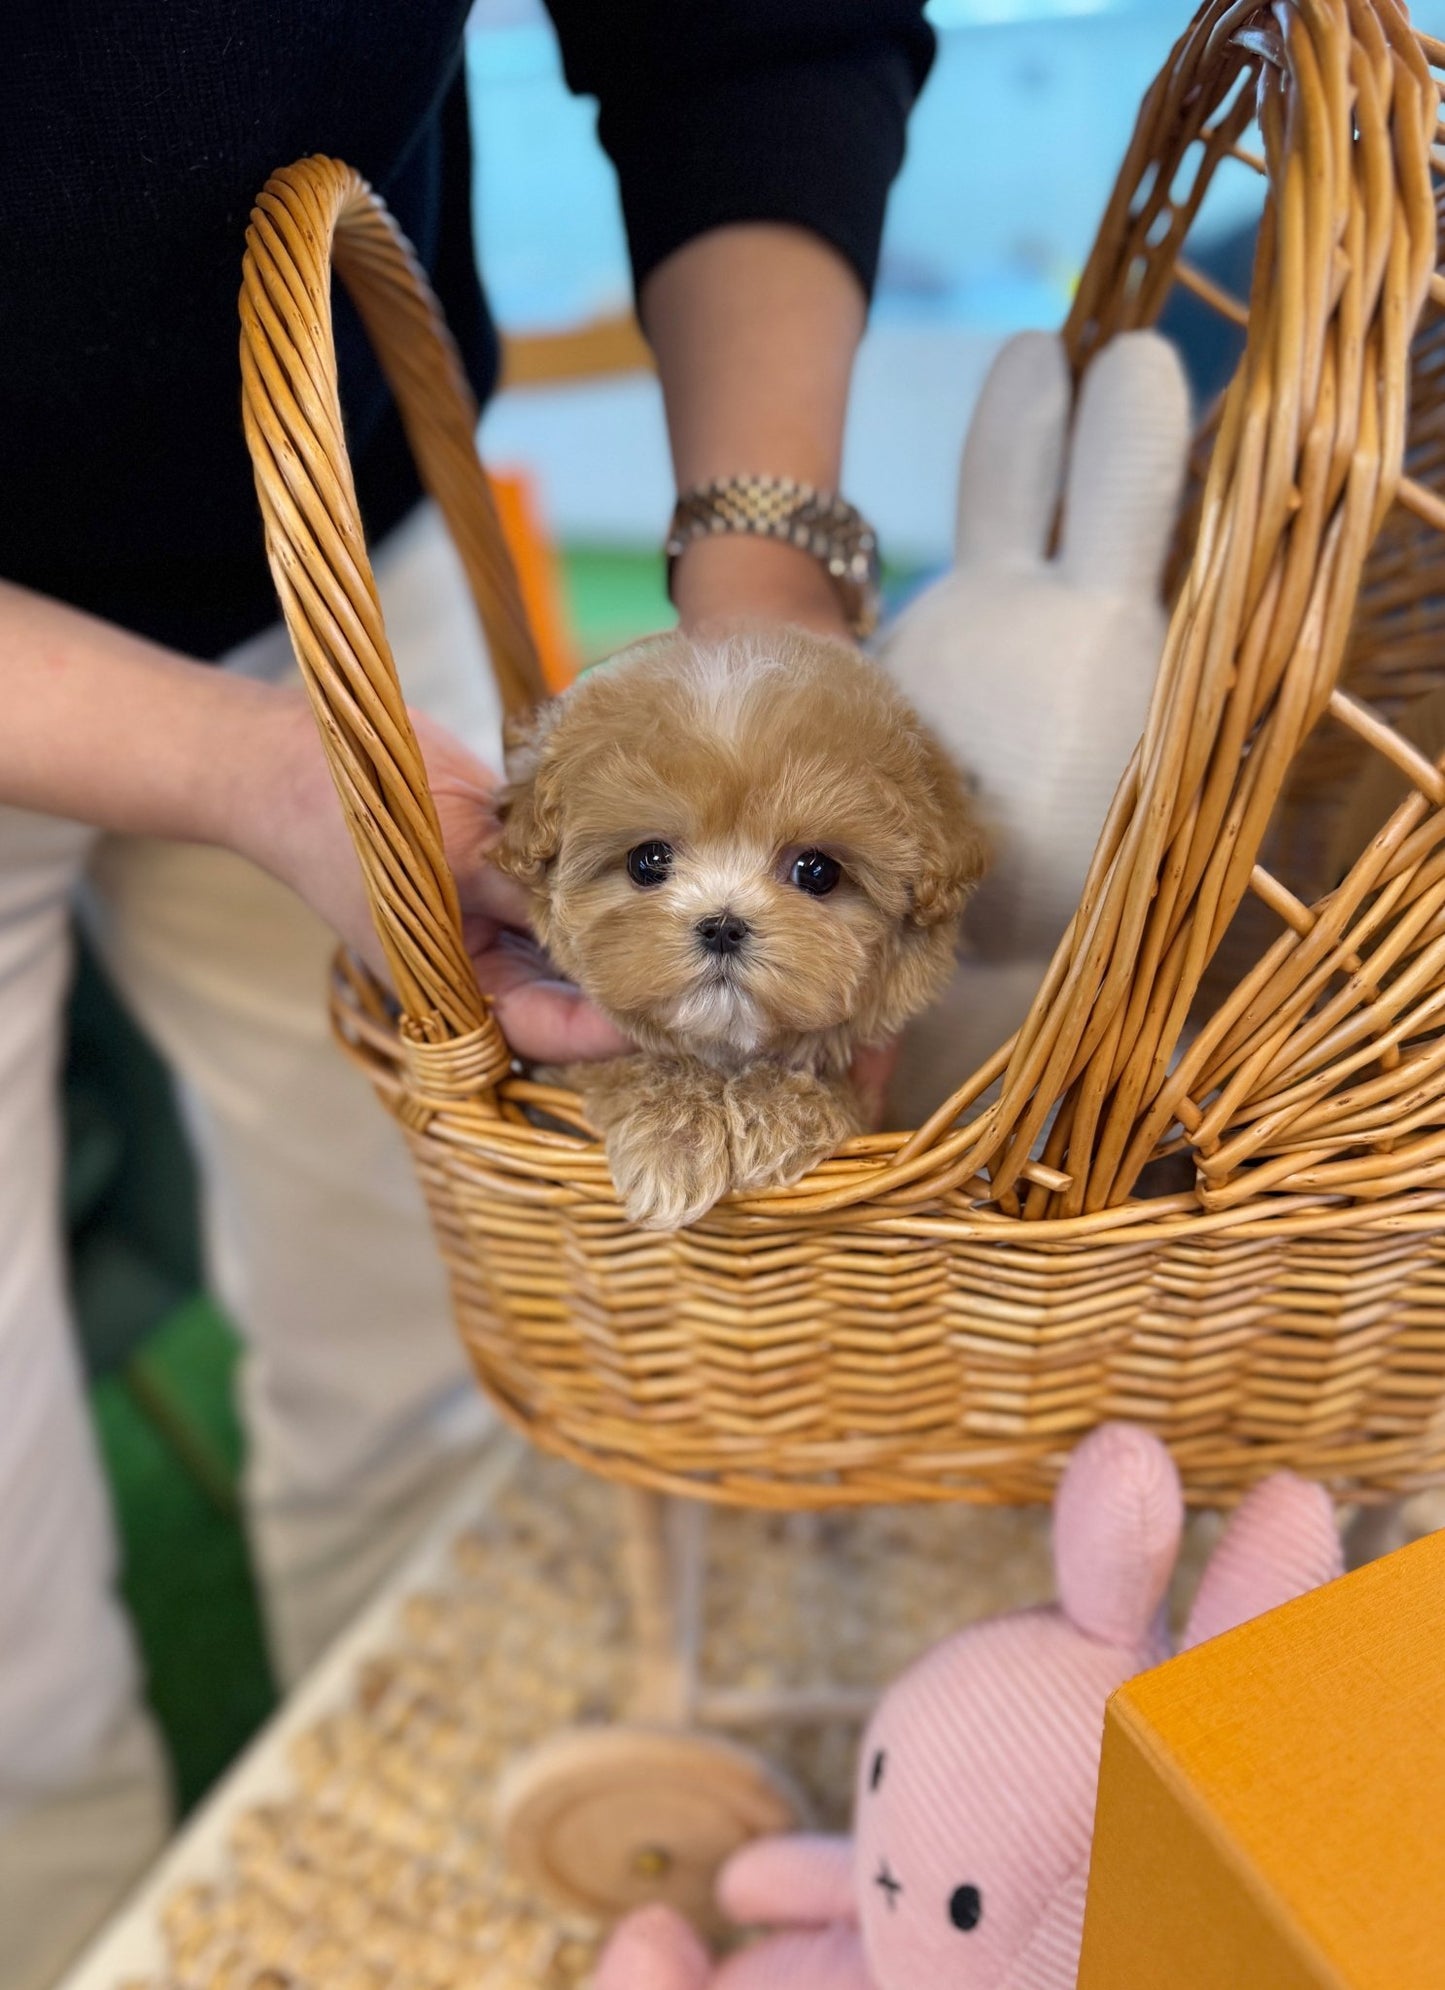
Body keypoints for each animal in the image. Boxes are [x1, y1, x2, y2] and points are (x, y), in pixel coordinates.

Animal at [495, 624, 983, 1225]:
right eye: (647, 861)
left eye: (816, 870)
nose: (723, 926)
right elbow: (616, 1064)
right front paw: (673, 1134)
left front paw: (775, 1114)